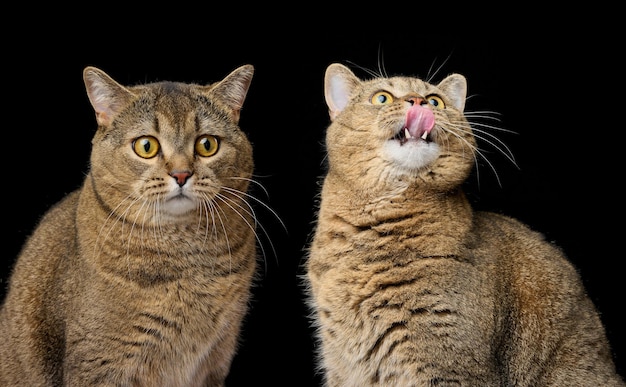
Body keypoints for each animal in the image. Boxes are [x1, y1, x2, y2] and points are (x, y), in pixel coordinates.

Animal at [0, 65, 258, 386]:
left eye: (207, 144)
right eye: (146, 146)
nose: (181, 174)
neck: (187, 259)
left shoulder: (216, 360)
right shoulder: (101, 364)